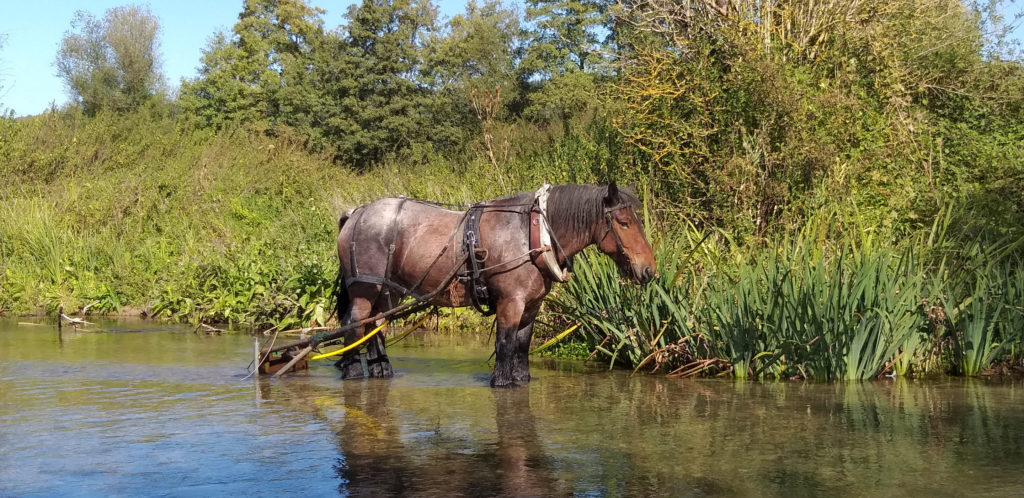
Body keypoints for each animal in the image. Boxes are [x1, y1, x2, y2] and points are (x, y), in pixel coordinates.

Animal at [331, 182, 659, 385]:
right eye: (624, 223)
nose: (649, 270)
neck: (531, 235)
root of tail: (356, 213)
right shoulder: (510, 303)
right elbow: (504, 346)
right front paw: (501, 381)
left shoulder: (531, 306)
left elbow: (521, 348)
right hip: (365, 289)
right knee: (354, 325)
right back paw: (352, 370)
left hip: (389, 292)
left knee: (375, 325)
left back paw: (382, 369)